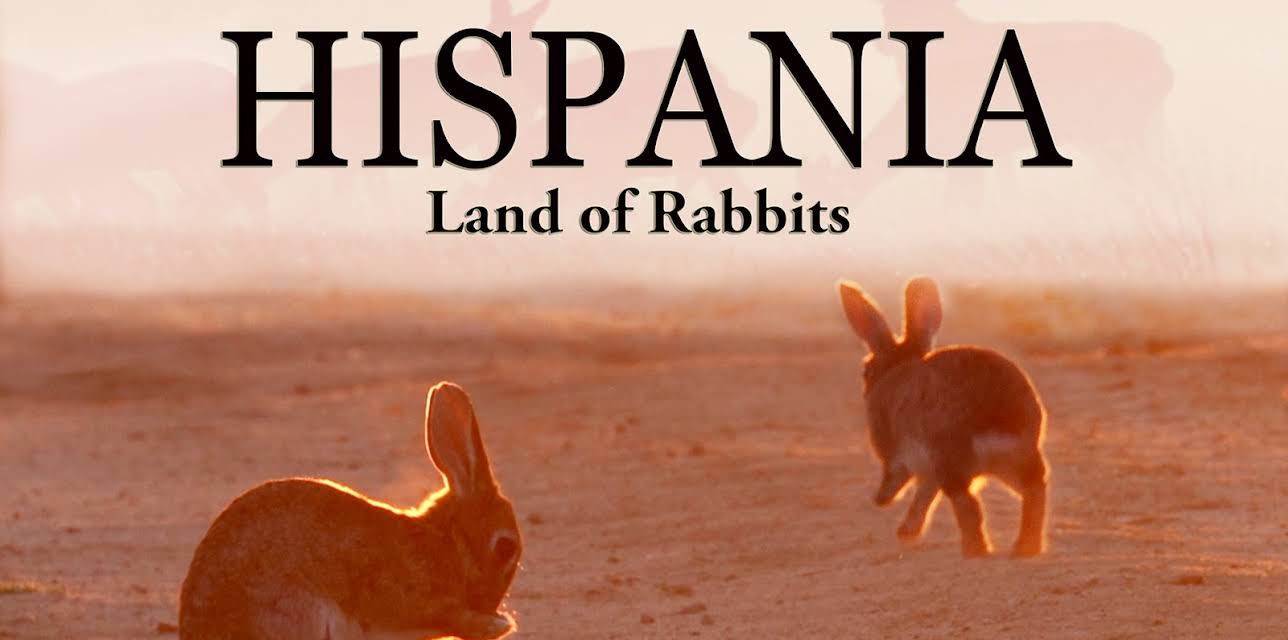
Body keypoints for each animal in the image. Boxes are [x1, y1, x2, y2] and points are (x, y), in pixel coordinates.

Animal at [837, 277, 1049, 557]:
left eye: (865, 370)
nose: (865, 381)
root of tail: (995, 418)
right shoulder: (928, 470)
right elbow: (925, 493)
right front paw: (906, 532)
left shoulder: (898, 454)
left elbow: (901, 480)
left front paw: (885, 503)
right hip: (1016, 460)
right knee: (1034, 491)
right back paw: (1025, 548)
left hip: (951, 459)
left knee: (969, 505)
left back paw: (975, 551)